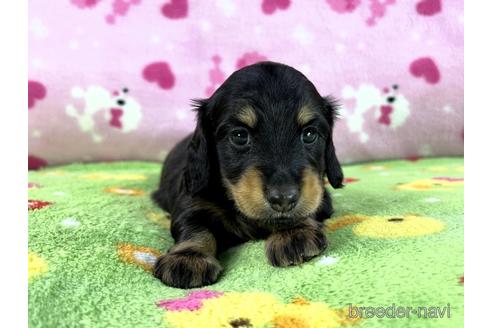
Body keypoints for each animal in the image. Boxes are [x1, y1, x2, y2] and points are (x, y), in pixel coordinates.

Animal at [152, 60, 344, 288]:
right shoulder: (192, 200)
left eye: (309, 134)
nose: (284, 199)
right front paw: (189, 257)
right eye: (239, 135)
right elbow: (194, 226)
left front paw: (294, 231)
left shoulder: (319, 195)